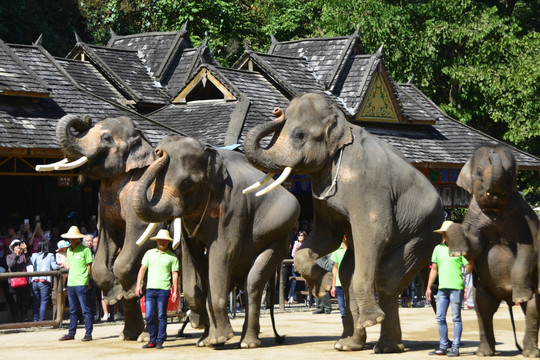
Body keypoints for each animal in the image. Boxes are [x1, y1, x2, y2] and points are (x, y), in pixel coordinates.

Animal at [36, 115, 160, 340]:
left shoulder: (145, 192)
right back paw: (130, 335)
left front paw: (125, 292)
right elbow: (106, 241)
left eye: (106, 138)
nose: (86, 118)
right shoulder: (103, 206)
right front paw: (115, 296)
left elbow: (141, 234)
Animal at [131, 136, 300, 348]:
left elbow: (223, 251)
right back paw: (206, 341)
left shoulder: (233, 206)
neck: (209, 153)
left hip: (279, 237)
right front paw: (200, 325)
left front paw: (220, 337)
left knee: (252, 283)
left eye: (186, 183)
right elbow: (191, 255)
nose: (159, 151)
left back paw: (245, 343)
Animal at [243, 91, 446, 352]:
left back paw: (381, 342)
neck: (341, 124)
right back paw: (351, 345)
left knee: (386, 278)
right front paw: (322, 285)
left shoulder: (367, 185)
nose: (277, 111)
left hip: (424, 233)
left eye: (299, 135)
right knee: (350, 275)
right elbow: (326, 237)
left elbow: (374, 233)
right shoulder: (321, 189)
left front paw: (370, 318)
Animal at [442, 146, 540, 358]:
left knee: (533, 307)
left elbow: (529, 248)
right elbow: (475, 246)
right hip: (481, 289)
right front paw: (456, 251)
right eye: (479, 172)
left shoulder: (524, 217)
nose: (493, 150)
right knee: (483, 308)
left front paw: (521, 297)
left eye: (511, 173)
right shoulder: (474, 214)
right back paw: (484, 353)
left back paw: (529, 352)